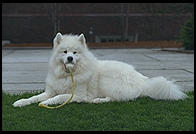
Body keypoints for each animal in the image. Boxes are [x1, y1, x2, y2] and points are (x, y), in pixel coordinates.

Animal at [13, 33, 188, 107]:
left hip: (107, 81)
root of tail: (143, 81)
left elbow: (58, 97)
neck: (68, 75)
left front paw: (46, 103)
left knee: (117, 98)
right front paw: (21, 102)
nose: (69, 58)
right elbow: (34, 97)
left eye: (75, 52)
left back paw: (97, 100)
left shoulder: (77, 94)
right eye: (65, 52)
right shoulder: (50, 90)